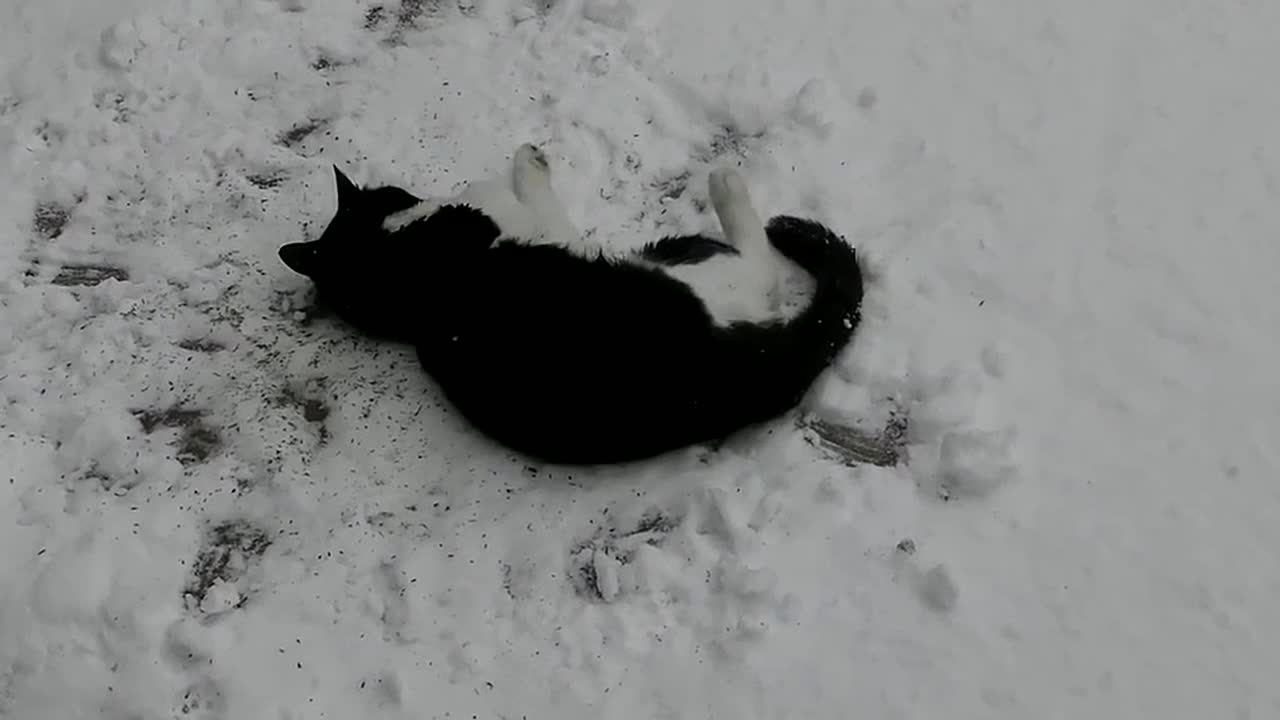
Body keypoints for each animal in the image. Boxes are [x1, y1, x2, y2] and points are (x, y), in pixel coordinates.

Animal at [275, 142, 865, 461]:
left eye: (385, 193)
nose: (404, 195)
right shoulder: (542, 226)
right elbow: (525, 184)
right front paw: (528, 159)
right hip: (694, 274)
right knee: (759, 258)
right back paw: (727, 184)